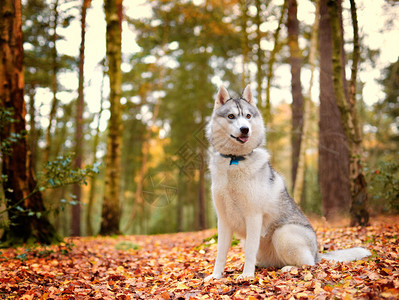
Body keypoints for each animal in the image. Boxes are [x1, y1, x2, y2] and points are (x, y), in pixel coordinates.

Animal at [206, 85, 372, 280]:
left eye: (247, 116)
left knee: (308, 264)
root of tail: (317, 253)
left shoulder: (253, 217)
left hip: (283, 233)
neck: (235, 160)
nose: (245, 129)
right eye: (231, 116)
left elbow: (249, 252)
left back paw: (288, 268)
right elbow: (220, 253)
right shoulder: (223, 220)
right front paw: (216, 276)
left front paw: (247, 275)